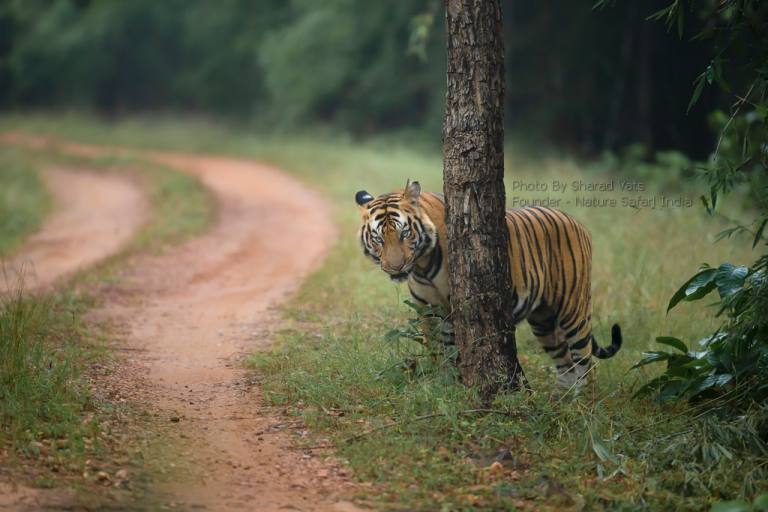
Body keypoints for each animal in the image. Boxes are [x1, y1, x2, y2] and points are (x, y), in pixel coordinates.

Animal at [355, 180, 622, 388]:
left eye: (404, 233)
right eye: (378, 238)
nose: (395, 267)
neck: (422, 266)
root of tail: (577, 222)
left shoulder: (457, 307)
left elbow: (458, 352)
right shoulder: (427, 310)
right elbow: (438, 353)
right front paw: (443, 385)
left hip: (573, 309)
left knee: (586, 366)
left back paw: (584, 407)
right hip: (544, 321)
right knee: (566, 367)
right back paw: (563, 405)